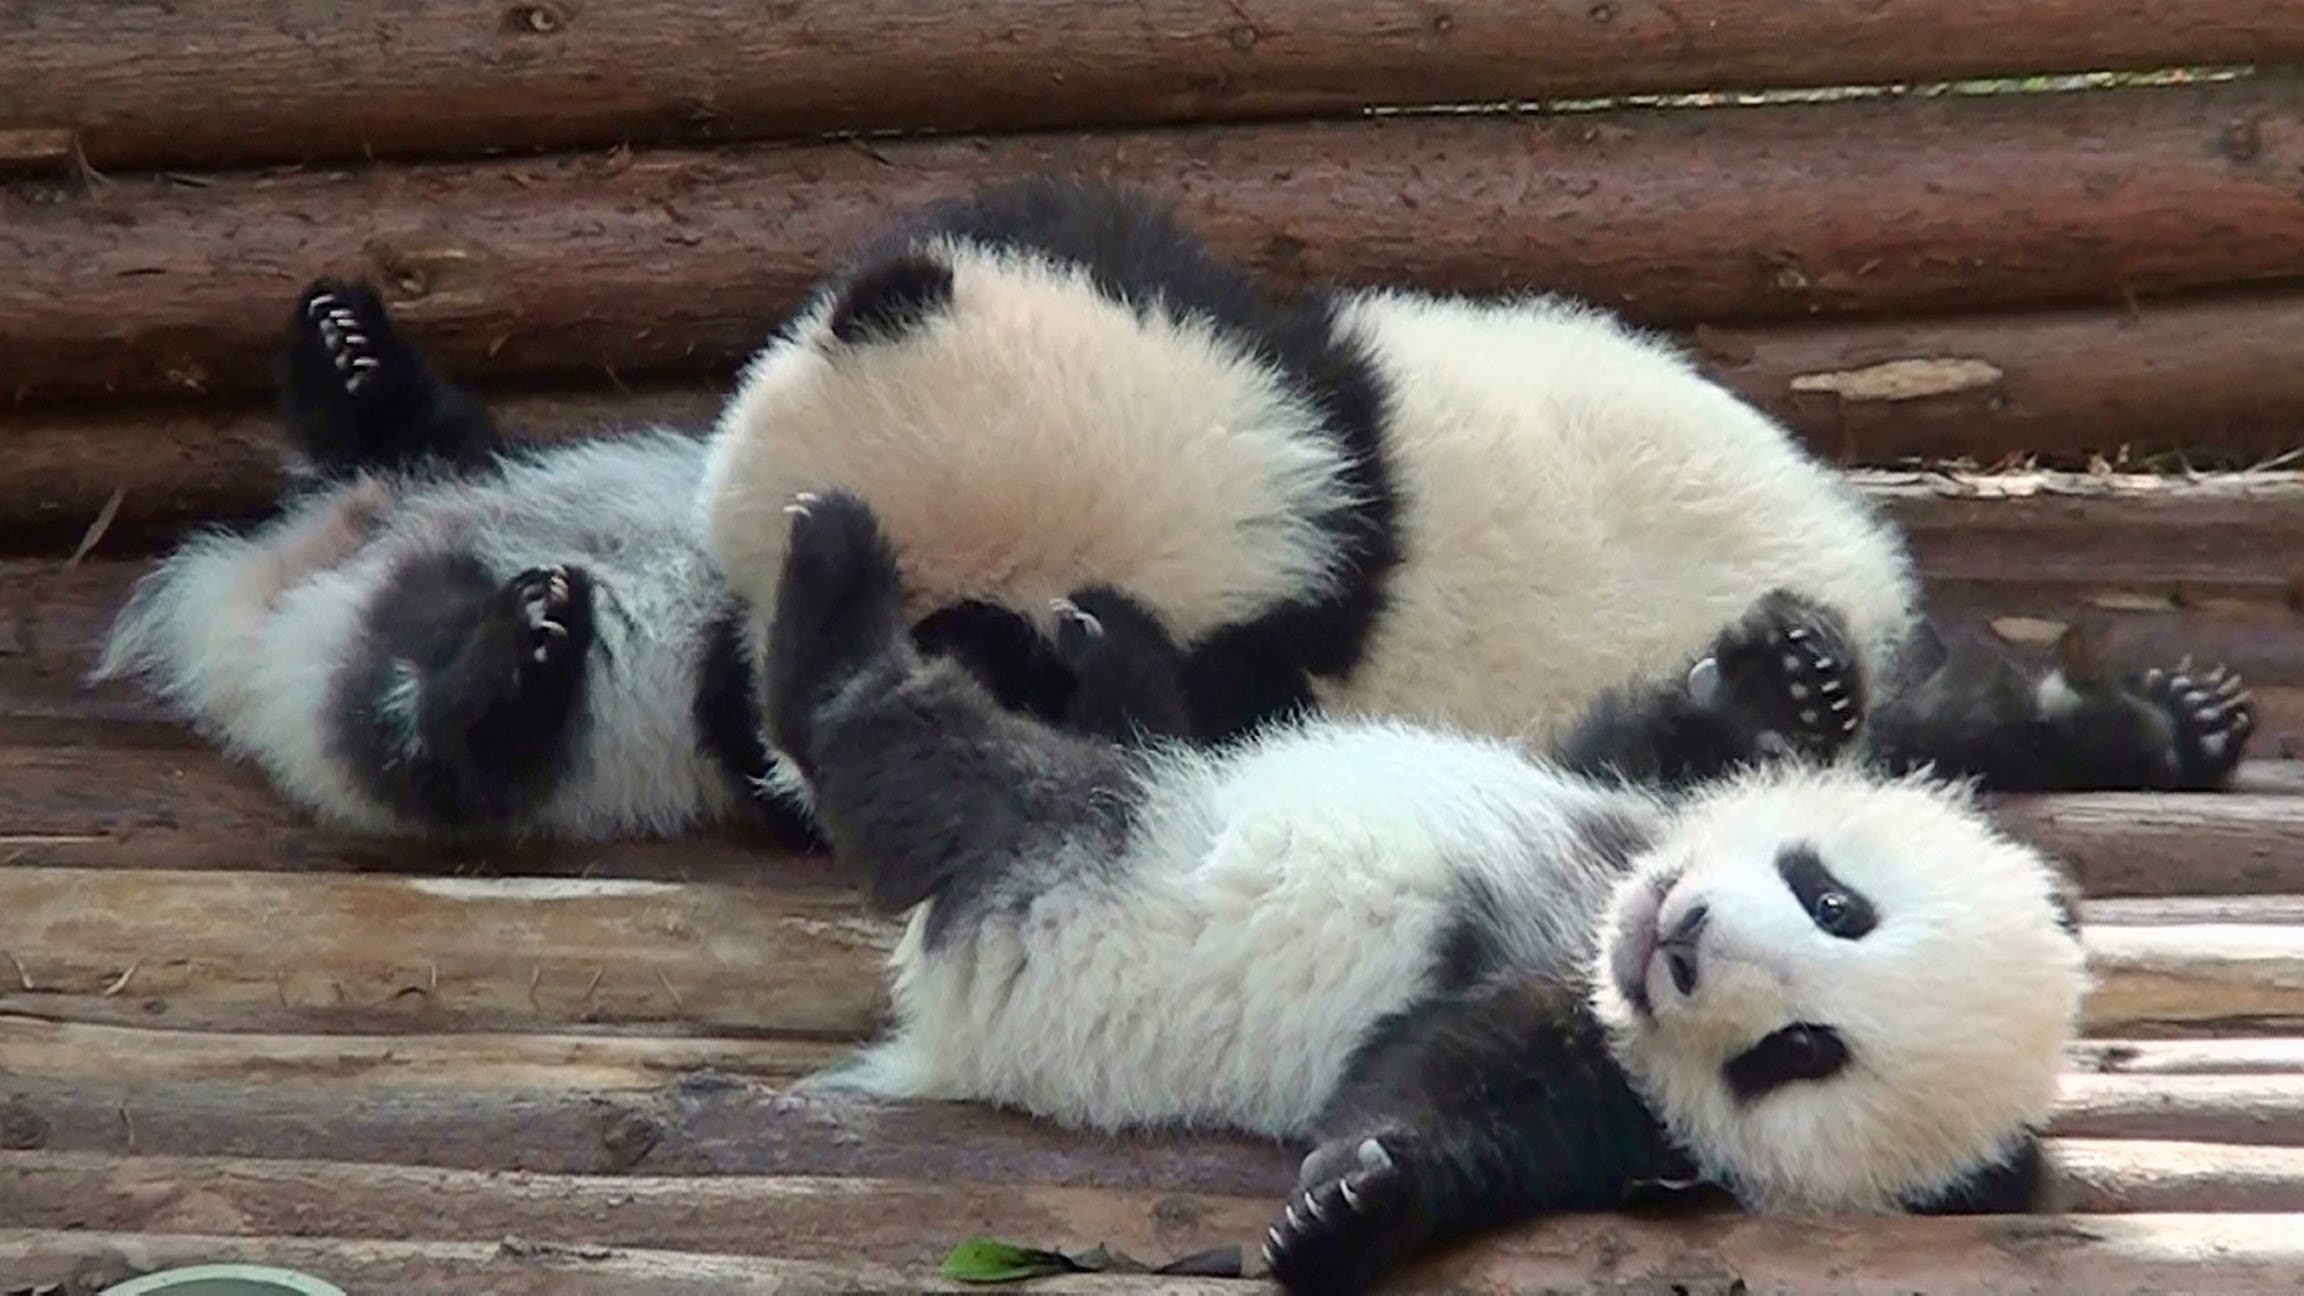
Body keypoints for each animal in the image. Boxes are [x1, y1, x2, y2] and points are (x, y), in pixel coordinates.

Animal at [756, 488, 2091, 1296]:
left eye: (1800, 1052)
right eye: (1836, 903)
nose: (1685, 941)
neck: (1590, 919)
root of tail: (932, 1031)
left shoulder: (1609, 1099)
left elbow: (1453, 1092)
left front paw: (1350, 1205)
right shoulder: (1616, 799)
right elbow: (1649, 740)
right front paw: (1794, 675)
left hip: (1068, 851)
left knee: (922, 761)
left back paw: (837, 591)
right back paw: (1103, 641)